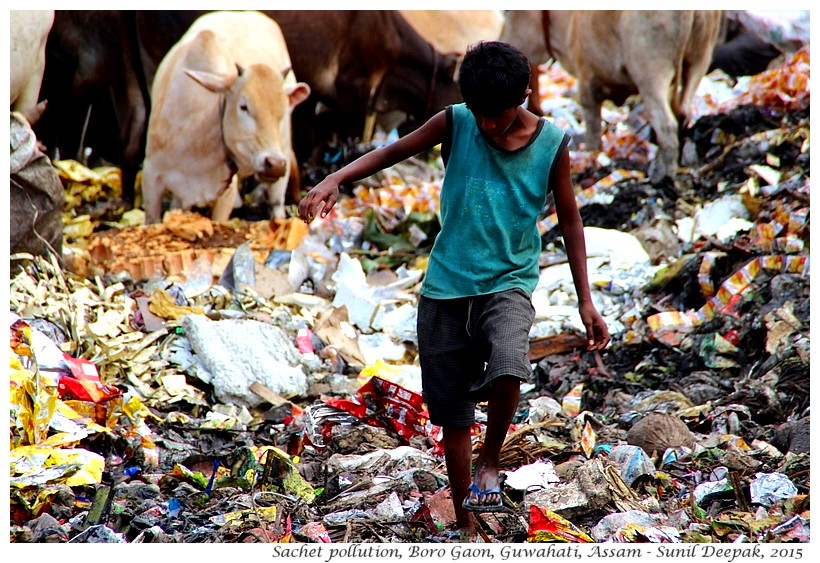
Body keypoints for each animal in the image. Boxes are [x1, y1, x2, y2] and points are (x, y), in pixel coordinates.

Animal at [141, 9, 310, 224]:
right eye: (243, 107)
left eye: (281, 111)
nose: (274, 164)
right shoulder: (151, 176)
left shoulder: (226, 192)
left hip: (283, 155)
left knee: (276, 203)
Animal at [496, 9, 720, 182]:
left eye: (509, 12)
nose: (503, 42)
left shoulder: (586, 78)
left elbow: (592, 123)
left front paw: (591, 155)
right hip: (702, 55)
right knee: (683, 111)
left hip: (651, 69)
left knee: (666, 123)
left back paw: (663, 175)